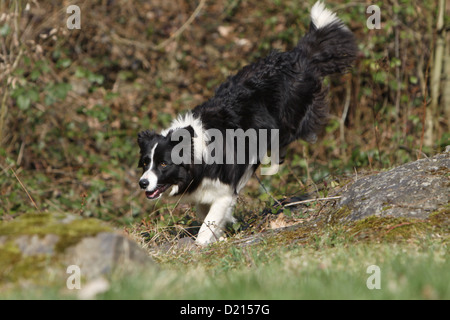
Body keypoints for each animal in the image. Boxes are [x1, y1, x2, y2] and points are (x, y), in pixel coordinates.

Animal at [139, 1, 356, 245]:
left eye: (163, 164)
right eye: (145, 163)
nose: (142, 183)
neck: (196, 150)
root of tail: (294, 57)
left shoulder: (223, 191)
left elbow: (208, 222)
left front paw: (205, 243)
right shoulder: (204, 192)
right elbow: (206, 214)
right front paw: (221, 235)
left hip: (290, 117)